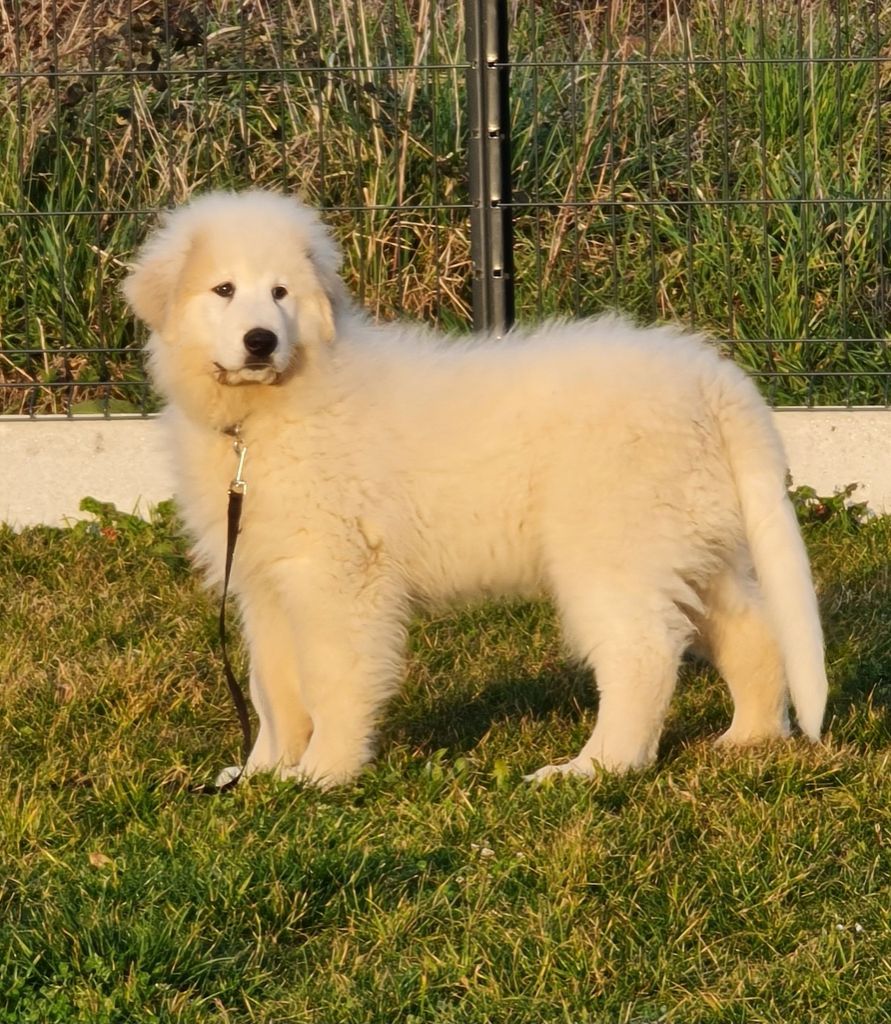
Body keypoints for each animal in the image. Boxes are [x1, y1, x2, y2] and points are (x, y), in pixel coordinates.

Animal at [123, 190, 831, 782]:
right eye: (223, 289)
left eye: (280, 292)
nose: (261, 341)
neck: (266, 415)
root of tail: (713, 377)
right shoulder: (264, 581)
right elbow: (272, 687)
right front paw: (261, 773)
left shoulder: (337, 577)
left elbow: (329, 678)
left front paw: (323, 773)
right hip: (685, 545)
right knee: (752, 629)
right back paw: (750, 737)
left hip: (612, 552)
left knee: (644, 653)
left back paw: (593, 769)